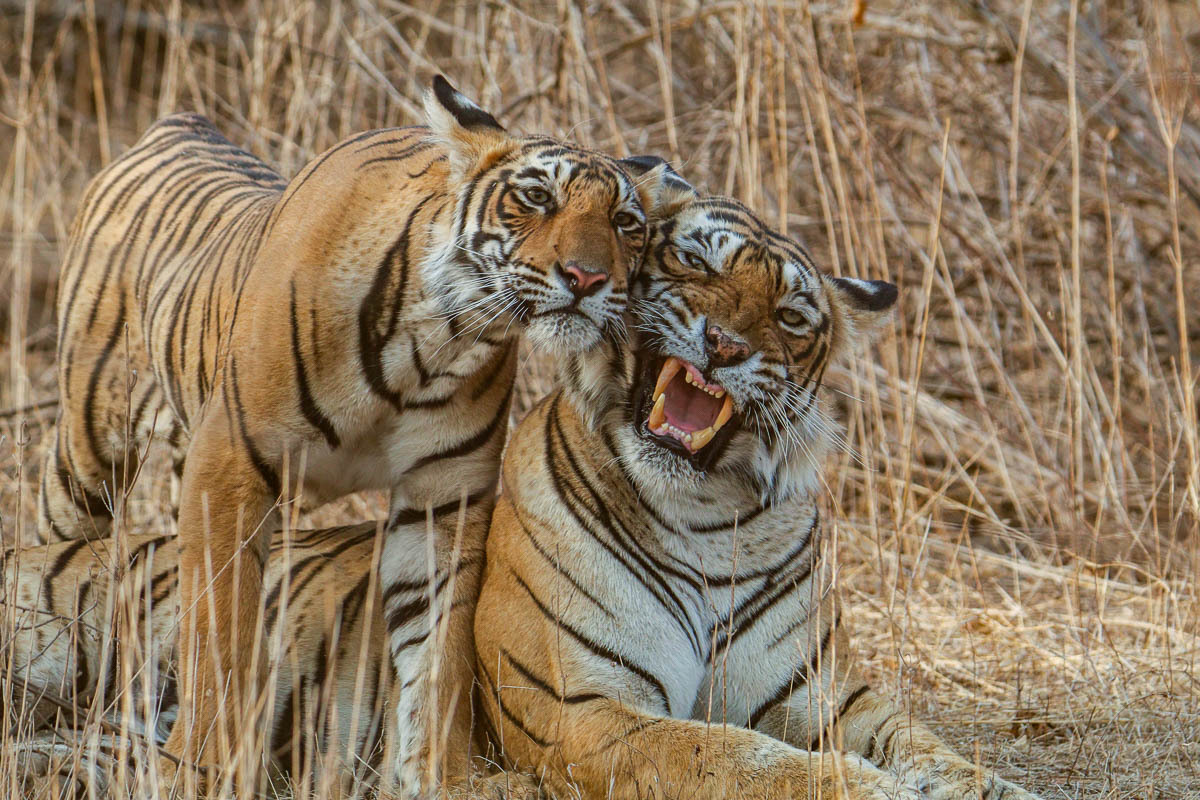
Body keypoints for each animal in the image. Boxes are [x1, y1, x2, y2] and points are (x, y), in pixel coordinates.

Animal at [35, 73, 667, 792]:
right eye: (537, 197)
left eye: (626, 224)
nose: (588, 279)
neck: (437, 339)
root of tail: (180, 121)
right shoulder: (230, 462)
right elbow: (222, 626)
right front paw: (205, 765)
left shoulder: (441, 499)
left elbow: (440, 650)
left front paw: (442, 776)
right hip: (88, 452)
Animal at [471, 189, 1045, 800]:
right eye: (695, 261)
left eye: (790, 315)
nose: (725, 345)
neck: (697, 511)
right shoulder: (578, 707)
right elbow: (734, 755)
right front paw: (870, 786)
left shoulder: (828, 700)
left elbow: (929, 748)